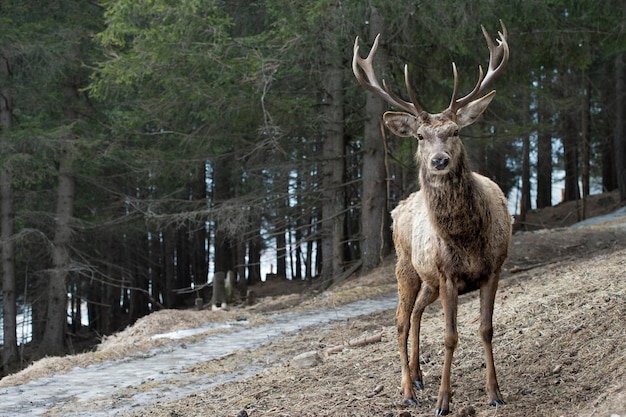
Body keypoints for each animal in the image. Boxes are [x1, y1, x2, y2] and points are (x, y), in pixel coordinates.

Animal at [354, 22, 510, 412]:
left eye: (455, 130)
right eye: (420, 136)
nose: (439, 160)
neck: (467, 241)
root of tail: (398, 208)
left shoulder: (493, 268)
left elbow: (486, 329)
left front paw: (495, 393)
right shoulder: (448, 275)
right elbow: (451, 336)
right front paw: (443, 401)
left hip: (429, 280)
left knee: (415, 314)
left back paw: (418, 375)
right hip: (405, 266)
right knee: (399, 321)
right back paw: (408, 389)